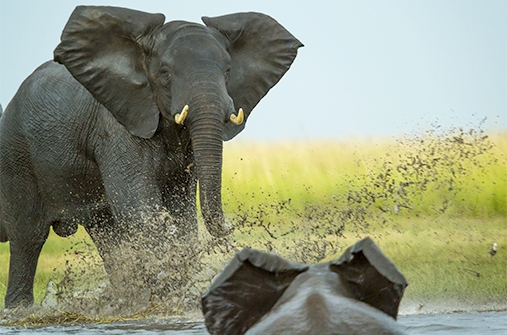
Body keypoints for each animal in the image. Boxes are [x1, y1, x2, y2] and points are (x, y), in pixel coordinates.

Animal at [0, 5, 302, 310]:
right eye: (165, 73)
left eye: (228, 71)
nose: (233, 226)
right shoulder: (117, 126)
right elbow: (139, 206)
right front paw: (171, 289)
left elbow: (181, 209)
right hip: (16, 155)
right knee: (28, 236)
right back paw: (19, 309)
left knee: (104, 231)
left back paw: (124, 296)